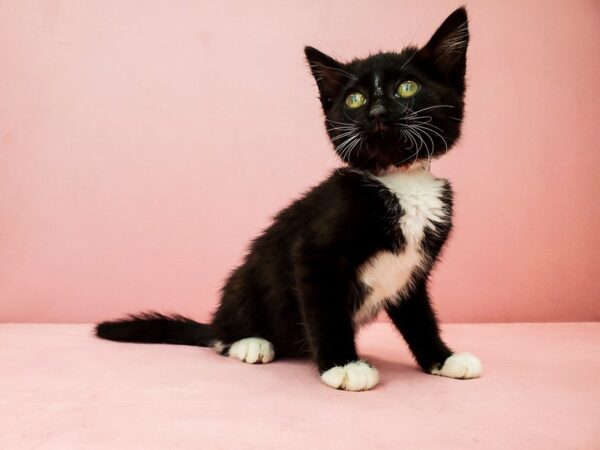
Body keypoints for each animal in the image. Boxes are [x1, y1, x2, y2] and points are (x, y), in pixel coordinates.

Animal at [98, 7, 482, 394]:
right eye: (354, 99)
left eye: (407, 88)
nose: (376, 114)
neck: (400, 182)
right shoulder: (314, 255)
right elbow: (326, 311)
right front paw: (342, 365)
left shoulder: (411, 273)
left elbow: (420, 318)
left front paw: (443, 359)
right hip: (246, 279)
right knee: (221, 336)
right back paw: (250, 342)